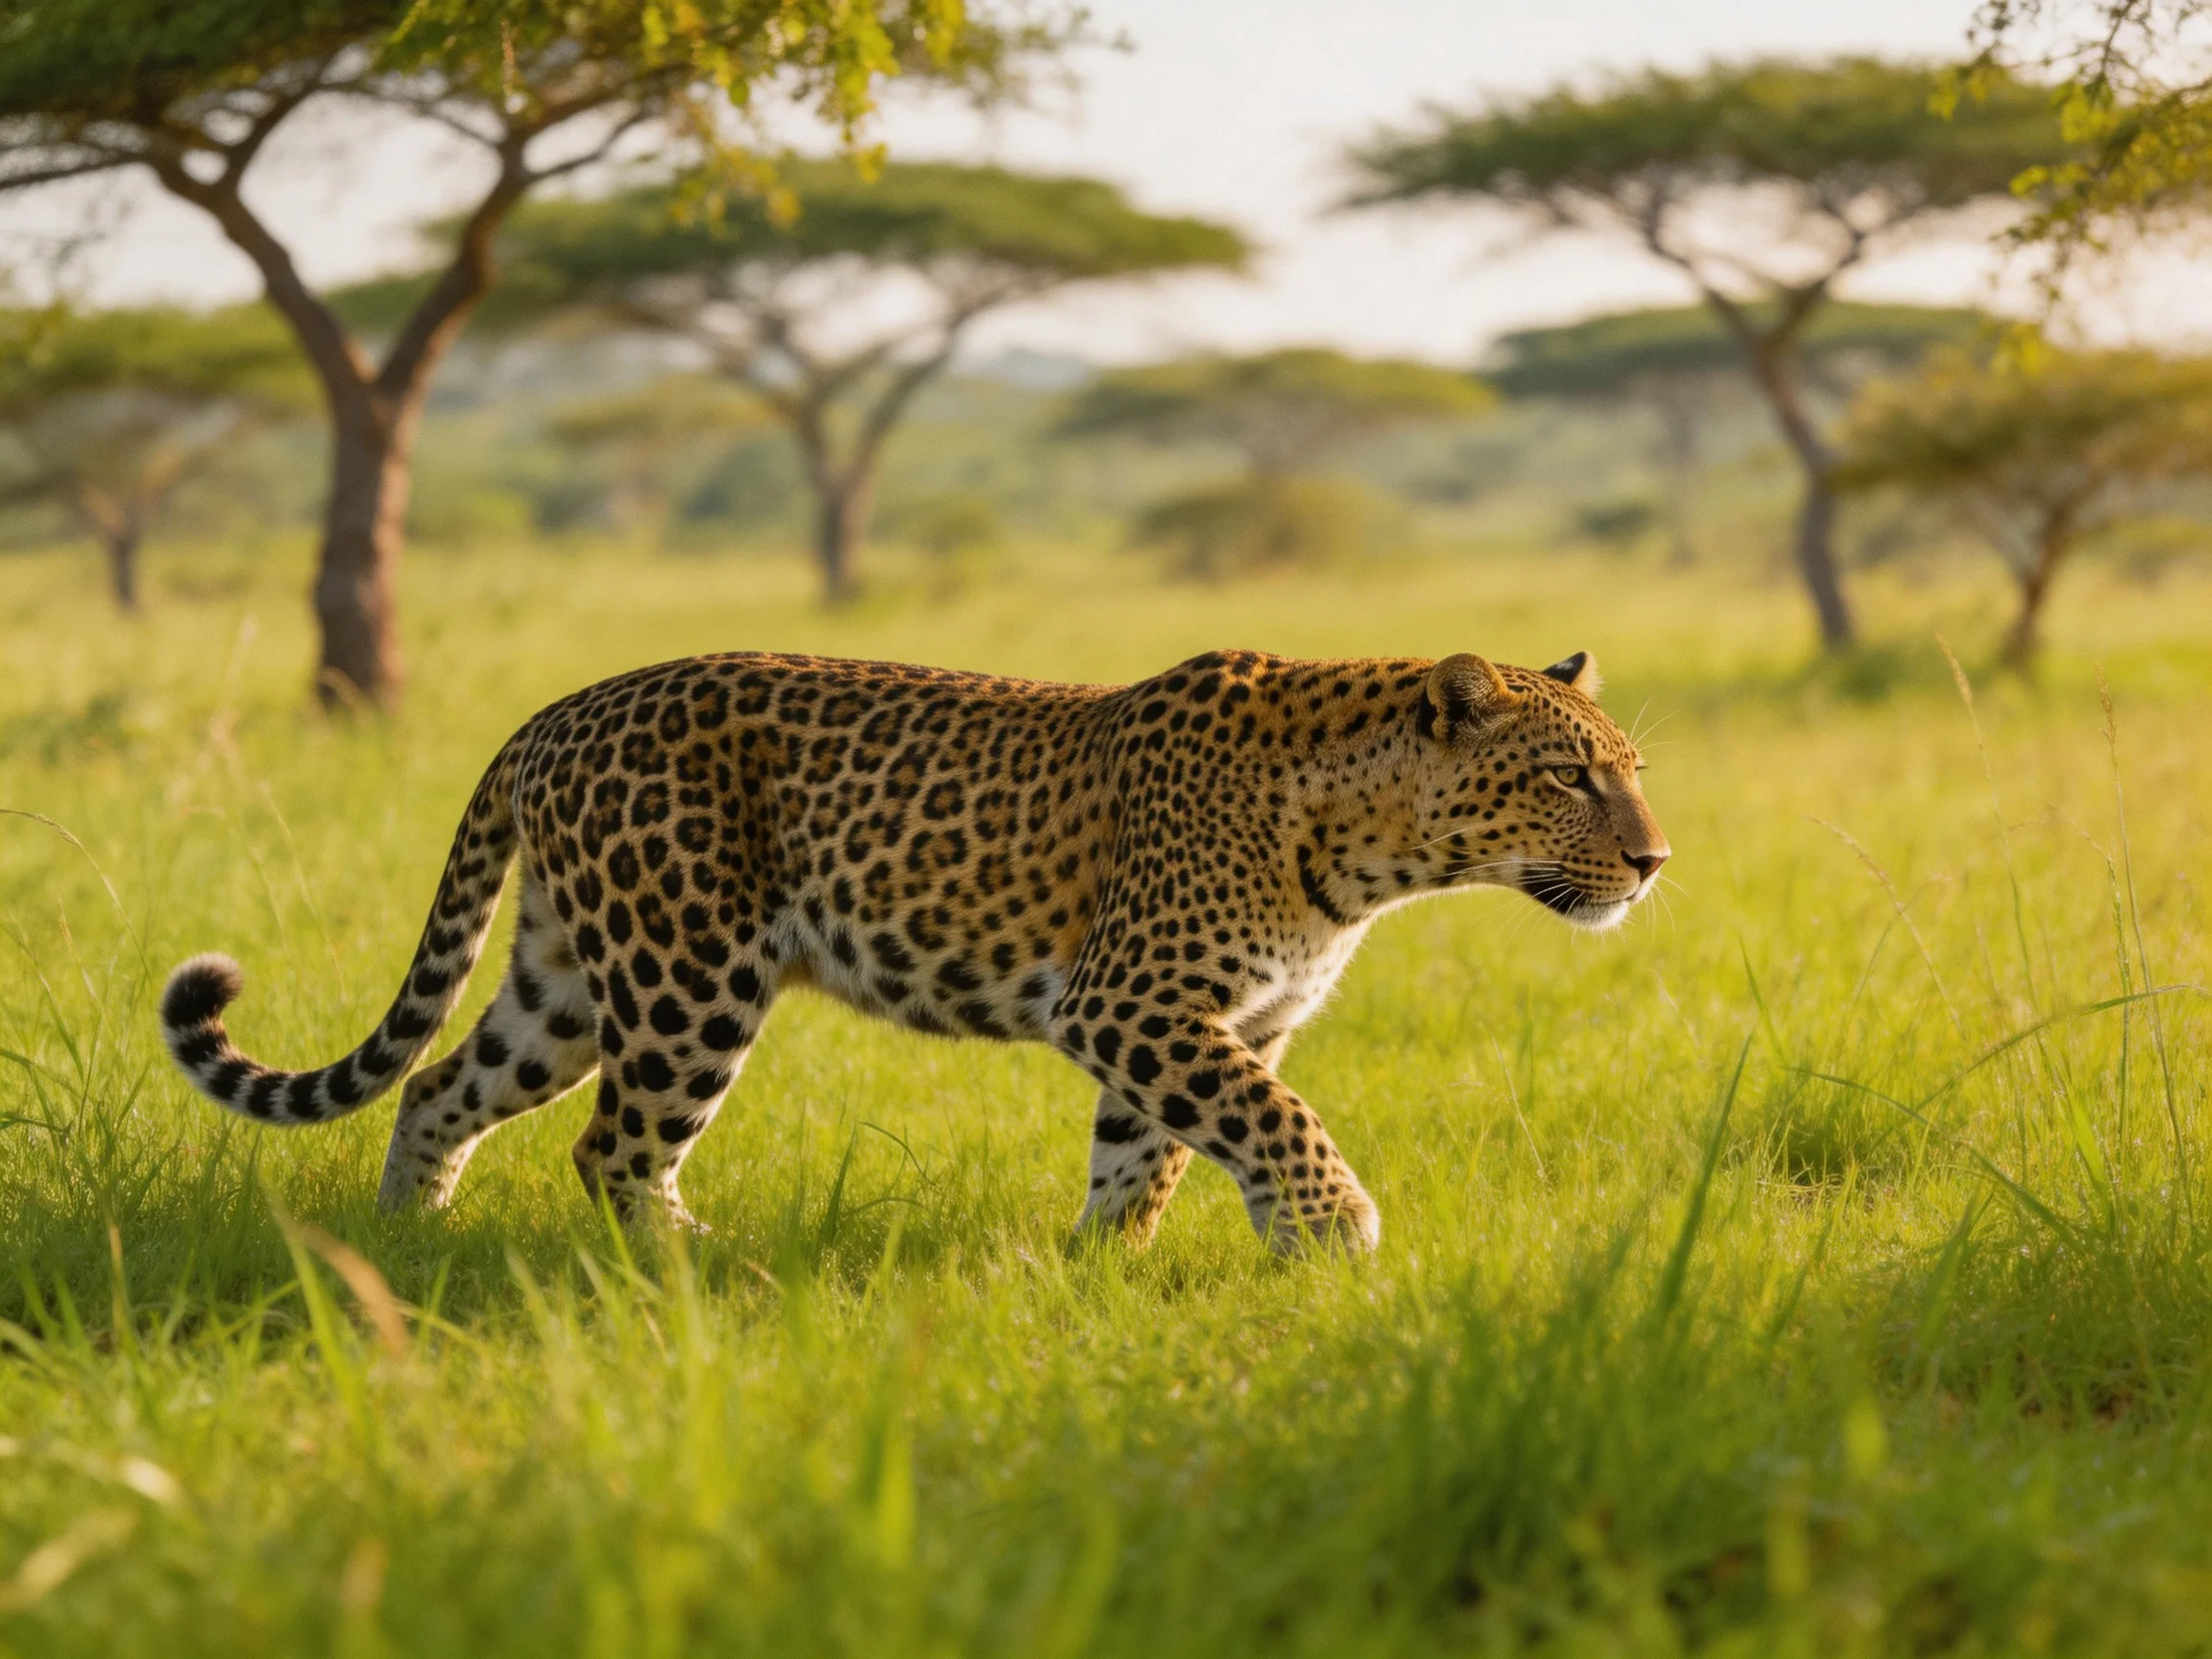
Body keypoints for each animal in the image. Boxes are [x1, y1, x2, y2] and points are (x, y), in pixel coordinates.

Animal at [159, 646, 1668, 1253]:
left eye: (1632, 773)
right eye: (1569, 778)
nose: (1655, 863)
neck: (1368, 850)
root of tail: (551, 715)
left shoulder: (1218, 1021)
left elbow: (1156, 1153)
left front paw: (1105, 1270)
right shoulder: (1134, 1004)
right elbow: (1271, 1119)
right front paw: (1337, 1231)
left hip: (570, 982)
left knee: (438, 1088)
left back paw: (403, 1244)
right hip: (690, 975)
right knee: (614, 1148)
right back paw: (702, 1270)